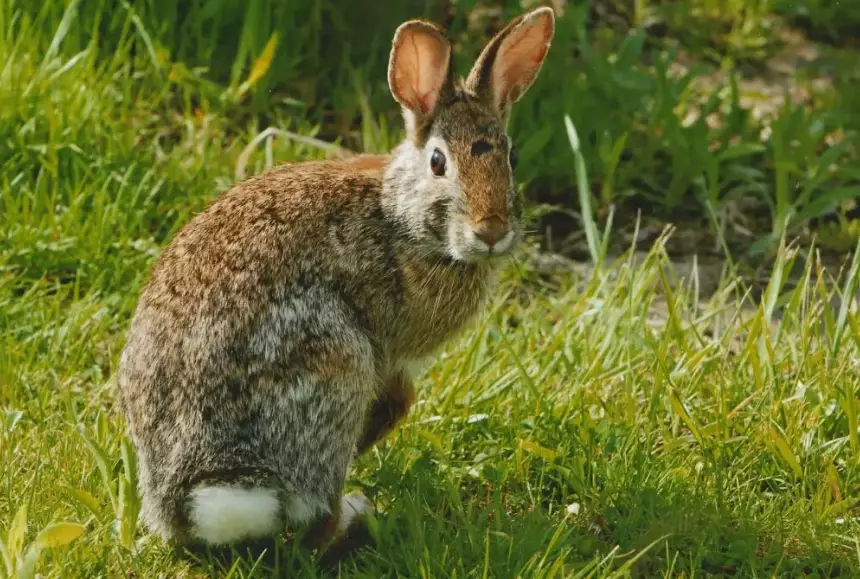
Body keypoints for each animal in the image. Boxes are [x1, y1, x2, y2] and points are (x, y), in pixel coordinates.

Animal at [118, 6, 555, 550]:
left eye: (510, 157)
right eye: (438, 162)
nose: (491, 230)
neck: (400, 219)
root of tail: (188, 503)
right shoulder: (389, 350)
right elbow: (400, 399)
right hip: (333, 364)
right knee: (315, 517)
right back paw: (356, 512)